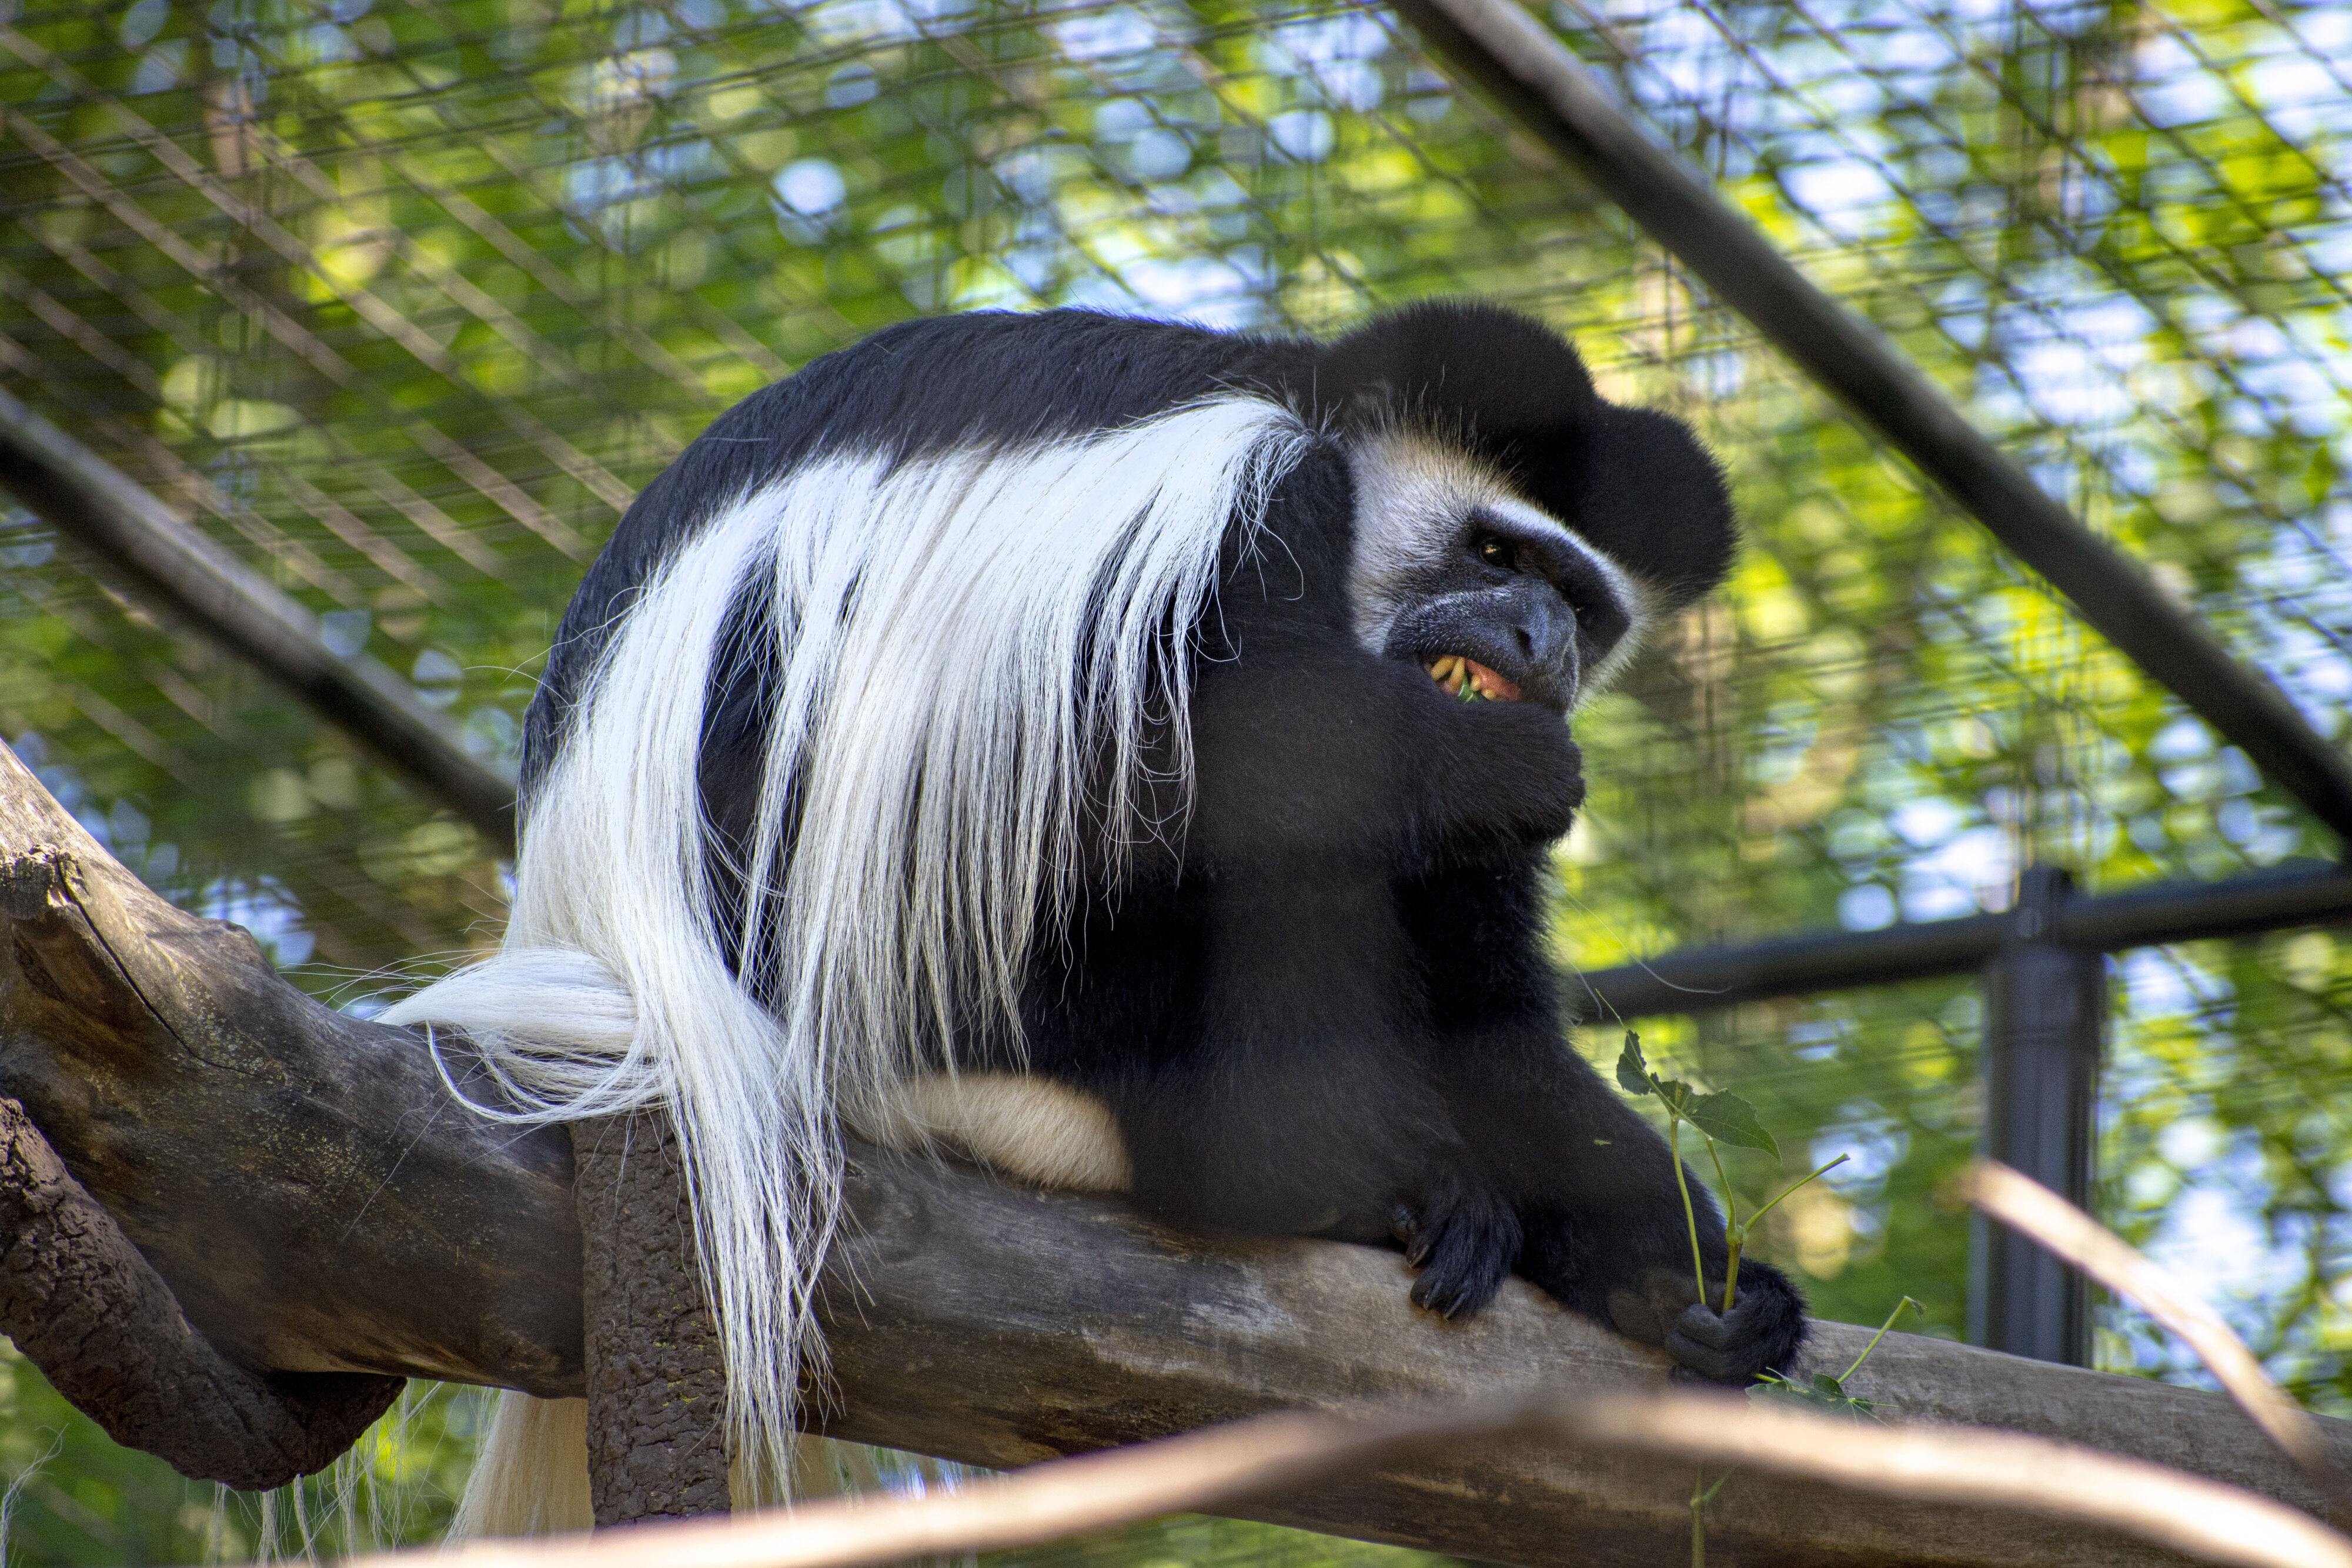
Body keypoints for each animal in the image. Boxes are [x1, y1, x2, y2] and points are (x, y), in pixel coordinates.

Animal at [390, 300, 1797, 1523]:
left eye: (1586, 603)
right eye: (1498, 553)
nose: (1541, 636)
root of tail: (621, 963)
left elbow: (1485, 1007)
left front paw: (1687, 1276)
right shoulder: (1253, 490)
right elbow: (1168, 756)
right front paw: (1495, 766)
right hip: (870, 931)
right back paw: (1304, 1159)